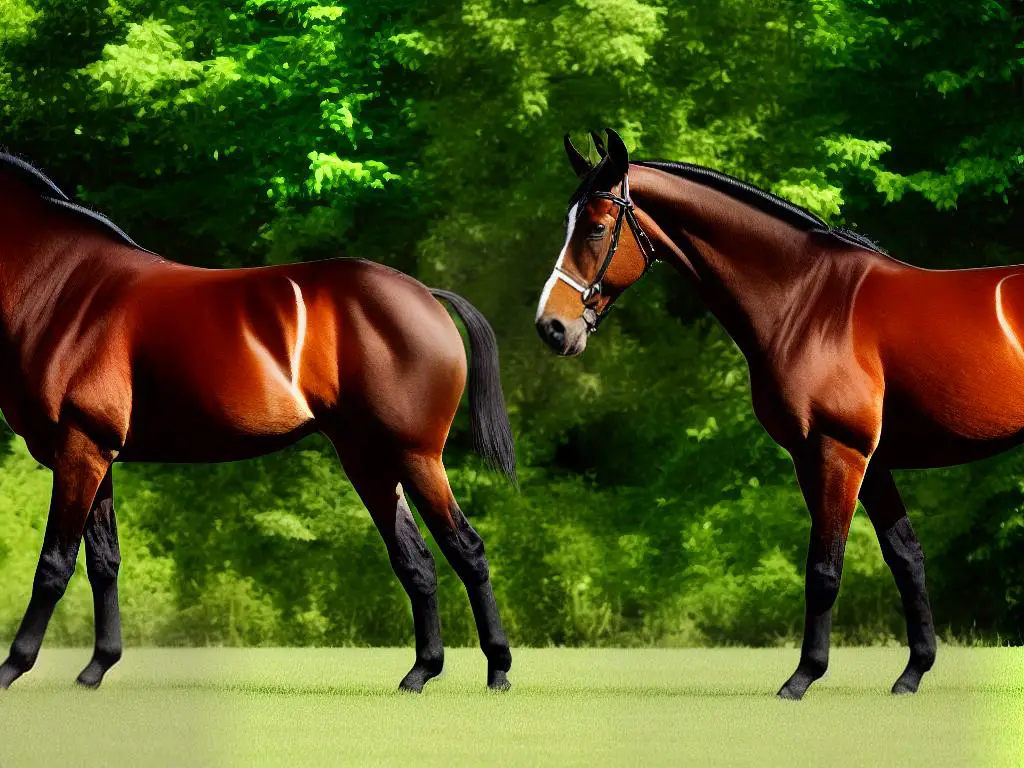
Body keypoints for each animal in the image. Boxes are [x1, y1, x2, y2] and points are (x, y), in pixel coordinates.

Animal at [0, 153, 516, 696]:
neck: (62, 290)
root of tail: (427, 296)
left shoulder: (79, 449)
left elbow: (54, 563)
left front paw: (13, 667)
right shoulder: (97, 454)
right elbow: (104, 561)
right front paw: (97, 668)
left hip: (416, 456)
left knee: (466, 549)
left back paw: (497, 669)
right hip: (370, 461)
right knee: (415, 559)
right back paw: (420, 672)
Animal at [536, 129, 1024, 700]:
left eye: (595, 228)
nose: (552, 327)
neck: (807, 301)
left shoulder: (834, 453)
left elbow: (824, 569)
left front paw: (802, 677)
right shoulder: (869, 461)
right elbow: (906, 557)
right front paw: (913, 672)